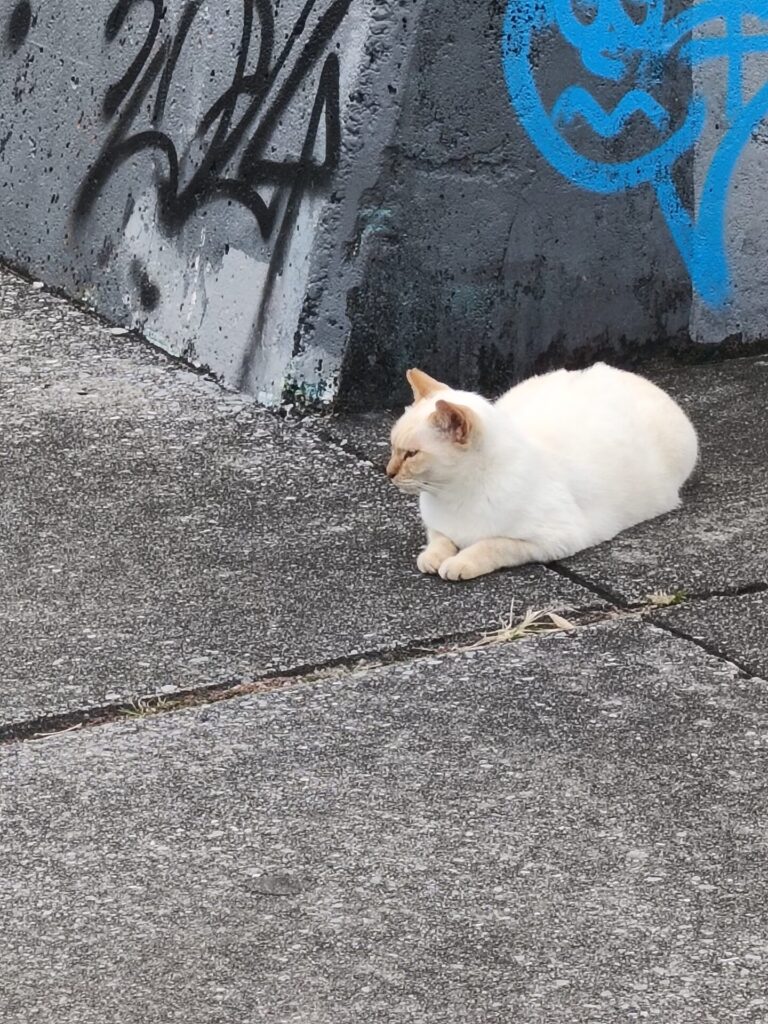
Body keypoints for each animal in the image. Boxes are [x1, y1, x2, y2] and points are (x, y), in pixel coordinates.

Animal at [387, 366, 700, 577]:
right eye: (392, 447)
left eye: (411, 454)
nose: (388, 472)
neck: (453, 494)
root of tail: (628, 374)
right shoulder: (437, 525)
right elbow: (439, 539)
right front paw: (433, 557)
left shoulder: (553, 539)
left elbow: (491, 544)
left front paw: (459, 562)